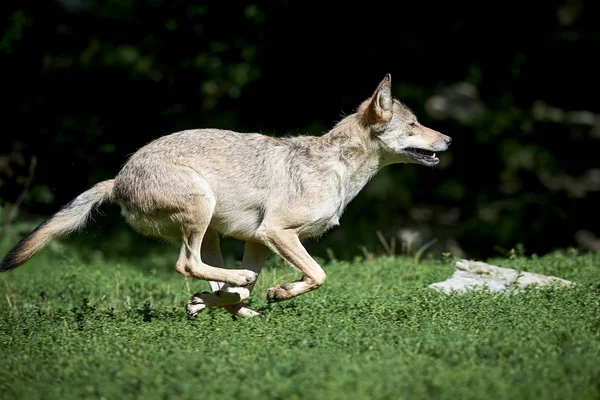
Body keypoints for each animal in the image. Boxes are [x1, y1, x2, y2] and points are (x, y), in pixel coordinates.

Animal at [0, 74, 450, 318]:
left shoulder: (260, 241)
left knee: (212, 276)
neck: (336, 167)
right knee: (188, 265)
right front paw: (278, 292)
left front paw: (234, 300)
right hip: (202, 209)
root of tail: (118, 177)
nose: (449, 139)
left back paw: (223, 300)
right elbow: (319, 275)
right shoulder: (278, 233)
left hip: (213, 232)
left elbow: (266, 285)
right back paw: (231, 291)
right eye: (414, 124)